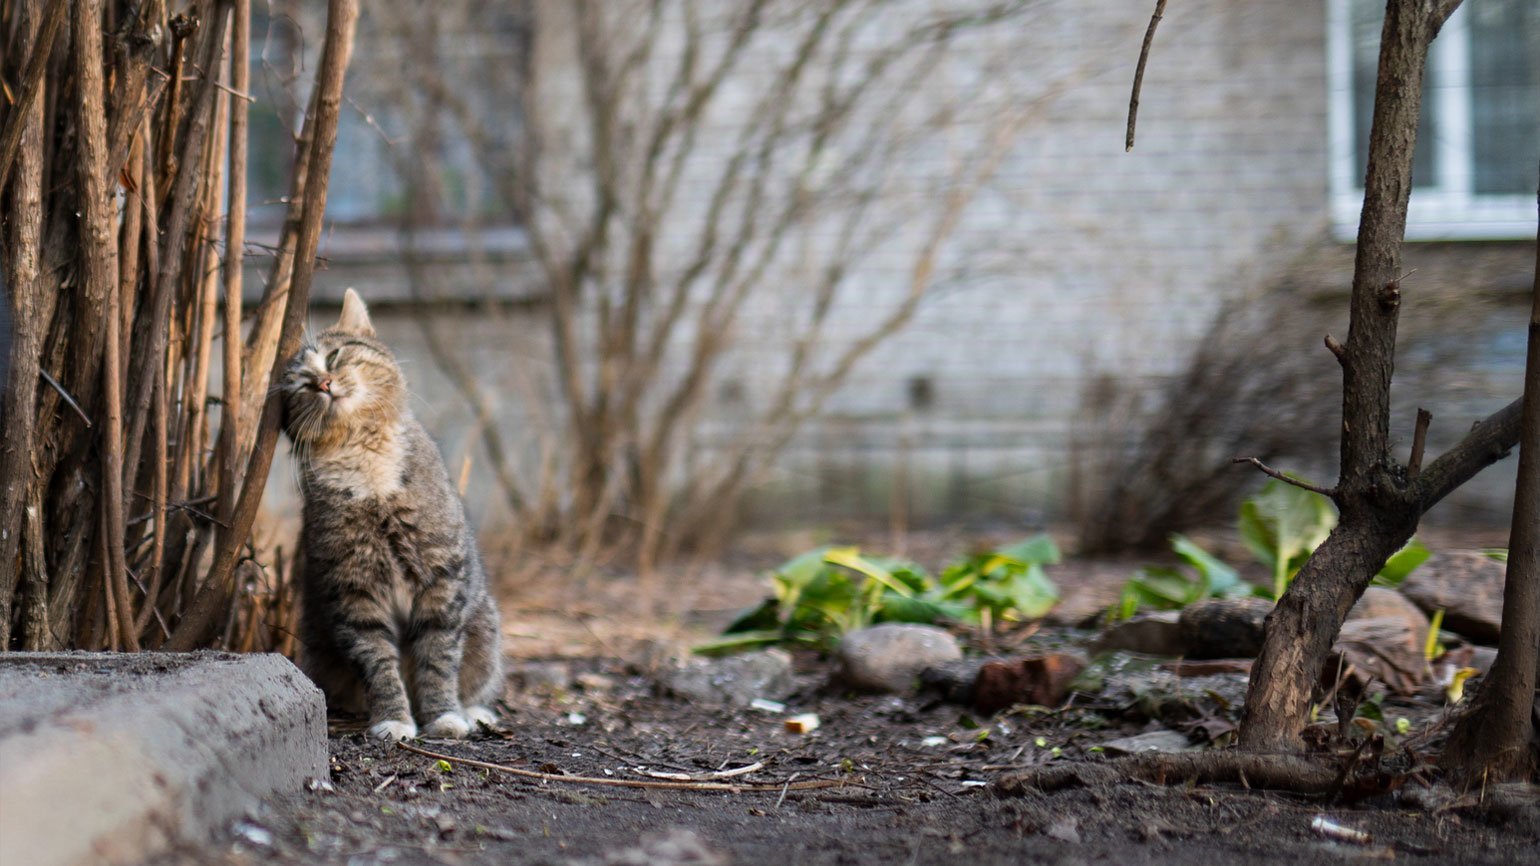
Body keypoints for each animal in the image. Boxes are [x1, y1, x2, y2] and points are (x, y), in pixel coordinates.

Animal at [283, 288, 505, 733]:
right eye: (302, 384)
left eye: (334, 356)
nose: (324, 383)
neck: (363, 455)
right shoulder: (354, 590)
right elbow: (378, 661)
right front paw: (394, 720)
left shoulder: (441, 577)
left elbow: (437, 657)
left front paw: (443, 716)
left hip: (485, 628)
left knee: (475, 679)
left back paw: (473, 711)